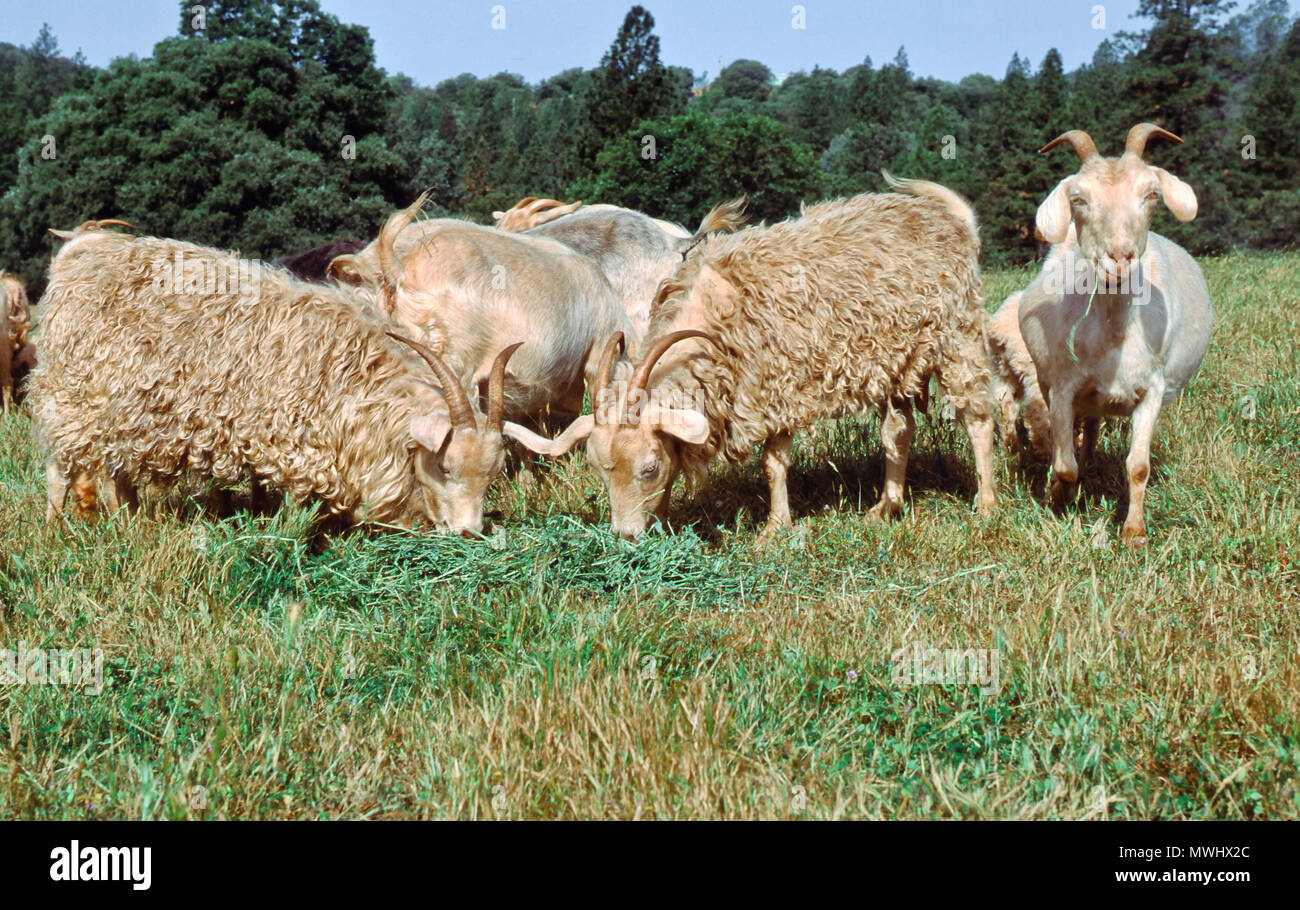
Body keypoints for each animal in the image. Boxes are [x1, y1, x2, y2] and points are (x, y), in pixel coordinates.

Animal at [31, 223, 538, 533]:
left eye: (492, 475)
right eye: (446, 466)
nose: (469, 534)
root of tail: (79, 256)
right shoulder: (293, 442)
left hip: (121, 415)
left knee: (117, 475)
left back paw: (131, 523)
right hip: (70, 397)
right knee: (60, 467)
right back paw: (57, 527)